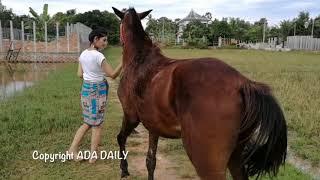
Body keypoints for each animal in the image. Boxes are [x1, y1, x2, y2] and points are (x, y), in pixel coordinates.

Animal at [112, 7, 288, 180]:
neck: (140, 58)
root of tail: (243, 83)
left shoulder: (131, 115)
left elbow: (121, 137)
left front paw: (124, 169)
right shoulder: (153, 127)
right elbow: (150, 161)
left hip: (208, 163)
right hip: (236, 155)